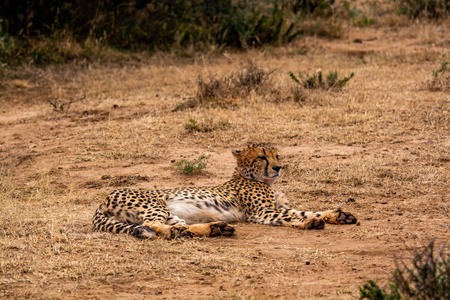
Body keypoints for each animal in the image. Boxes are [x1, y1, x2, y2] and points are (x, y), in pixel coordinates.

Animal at [93, 143, 356, 239]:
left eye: (277, 155)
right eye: (262, 157)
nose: (278, 167)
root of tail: (103, 199)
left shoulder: (275, 208)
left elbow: (306, 210)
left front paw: (337, 215)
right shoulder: (262, 213)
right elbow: (293, 216)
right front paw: (312, 223)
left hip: (171, 214)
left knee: (178, 225)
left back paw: (214, 228)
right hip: (156, 205)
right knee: (153, 225)